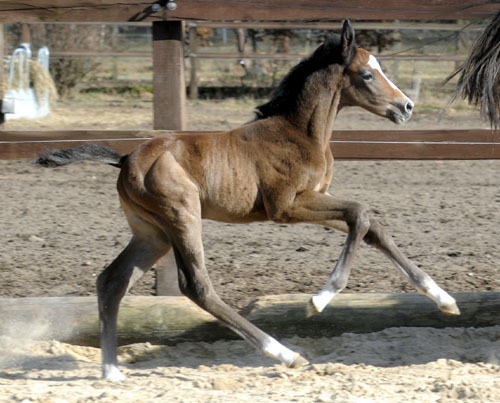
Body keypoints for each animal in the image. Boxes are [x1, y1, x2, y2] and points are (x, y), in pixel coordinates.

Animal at [37, 21, 458, 382]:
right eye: (367, 75)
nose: (407, 107)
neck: (298, 133)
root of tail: (125, 159)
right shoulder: (286, 207)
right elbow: (360, 213)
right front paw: (318, 300)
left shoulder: (315, 198)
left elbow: (371, 225)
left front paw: (444, 299)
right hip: (182, 218)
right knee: (197, 287)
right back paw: (285, 353)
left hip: (151, 233)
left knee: (111, 281)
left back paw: (111, 372)